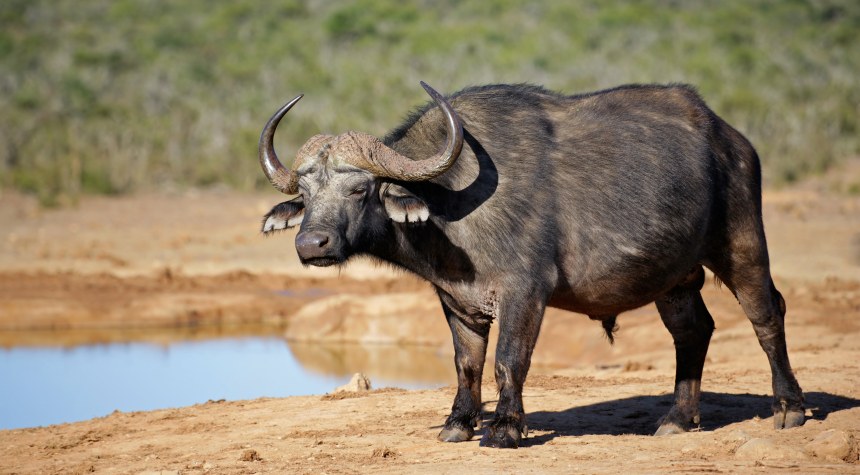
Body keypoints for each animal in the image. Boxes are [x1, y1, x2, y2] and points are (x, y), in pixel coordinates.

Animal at [258, 82, 804, 448]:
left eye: (359, 189)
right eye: (305, 193)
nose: (311, 243)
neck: (451, 206)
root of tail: (732, 140)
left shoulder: (524, 292)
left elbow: (508, 360)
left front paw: (504, 429)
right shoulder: (457, 300)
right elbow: (466, 364)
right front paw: (458, 424)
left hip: (742, 245)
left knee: (766, 315)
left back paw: (790, 409)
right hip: (675, 279)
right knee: (693, 331)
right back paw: (676, 419)